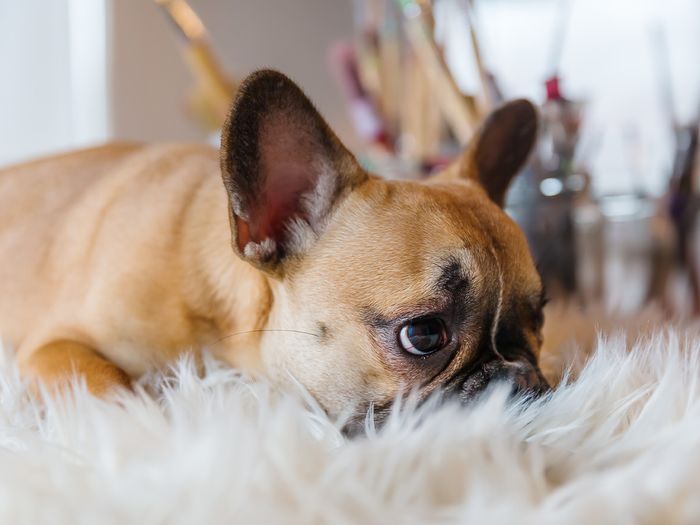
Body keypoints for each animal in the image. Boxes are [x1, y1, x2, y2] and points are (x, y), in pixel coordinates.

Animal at [0, 70, 548, 422]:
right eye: (424, 334)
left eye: (539, 320)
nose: (521, 380)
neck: (228, 317)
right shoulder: (54, 349)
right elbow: (112, 391)